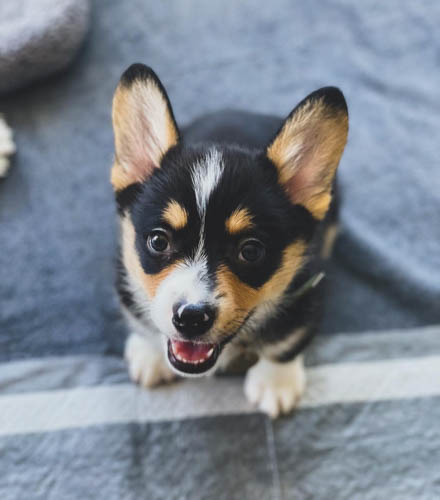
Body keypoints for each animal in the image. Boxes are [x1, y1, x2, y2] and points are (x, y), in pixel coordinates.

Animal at [111, 64, 348, 420]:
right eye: (158, 241)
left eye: (250, 251)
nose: (191, 317)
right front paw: (149, 353)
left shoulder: (307, 298)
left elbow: (287, 343)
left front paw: (275, 383)